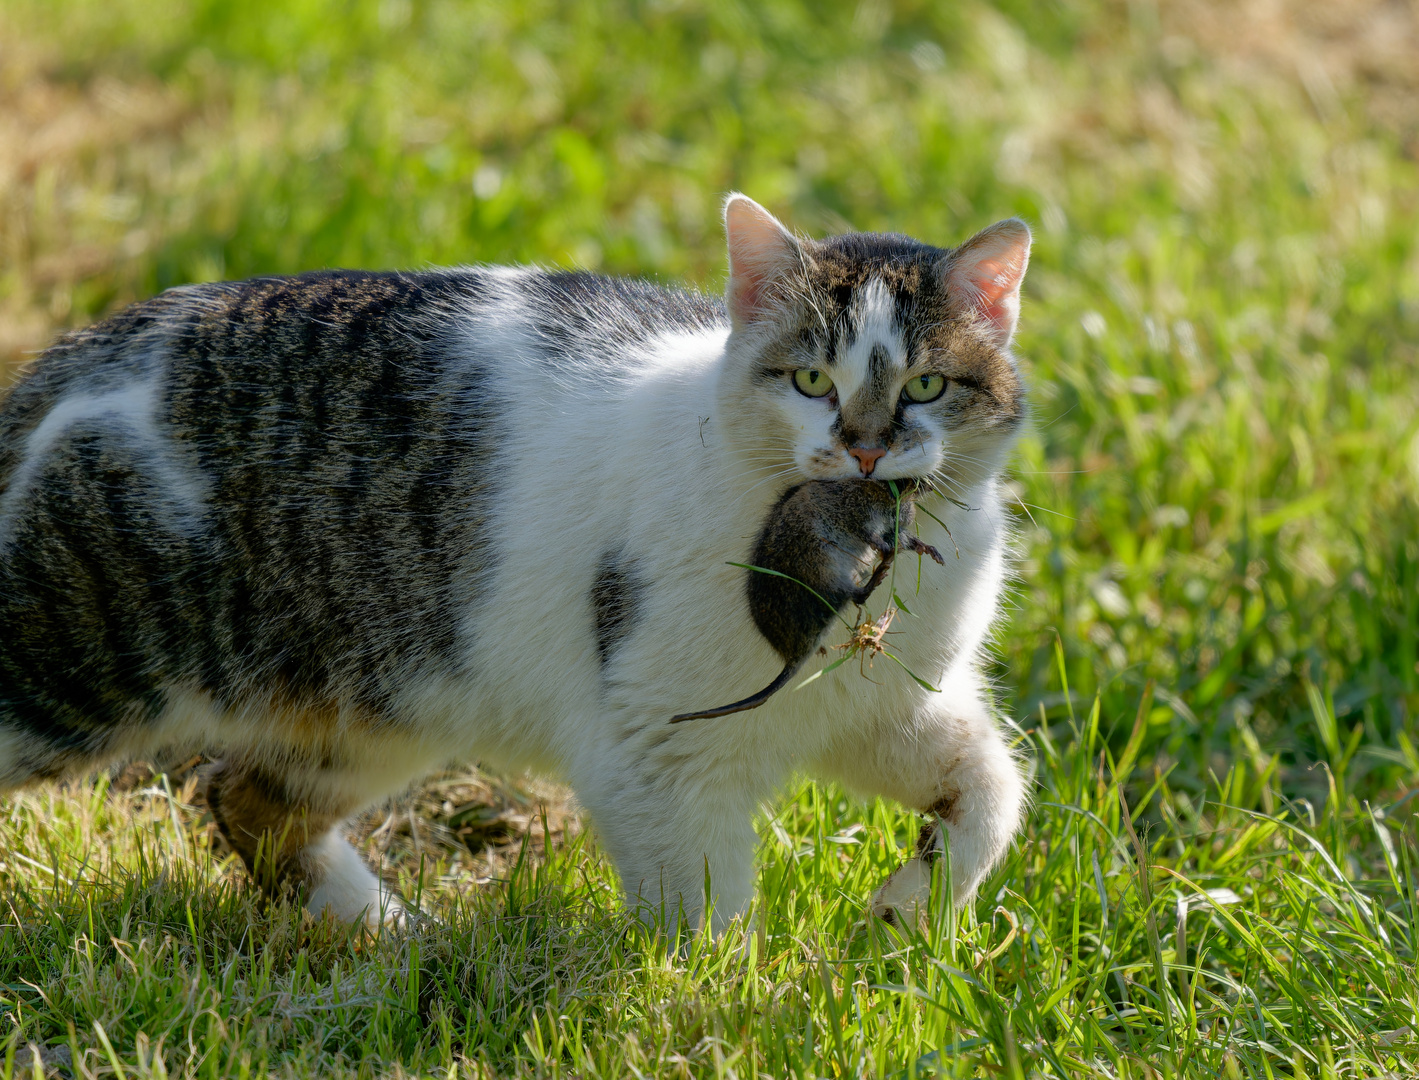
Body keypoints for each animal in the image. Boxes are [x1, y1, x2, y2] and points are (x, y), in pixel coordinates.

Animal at [0, 195, 1027, 936]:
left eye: (926, 384)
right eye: (812, 380)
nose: (865, 449)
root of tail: (95, 348)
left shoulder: (885, 708)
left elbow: (992, 788)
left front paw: (908, 909)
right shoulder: (652, 746)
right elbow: (703, 920)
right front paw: (716, 1008)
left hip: (379, 700)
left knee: (246, 797)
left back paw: (389, 937)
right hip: (74, 663)